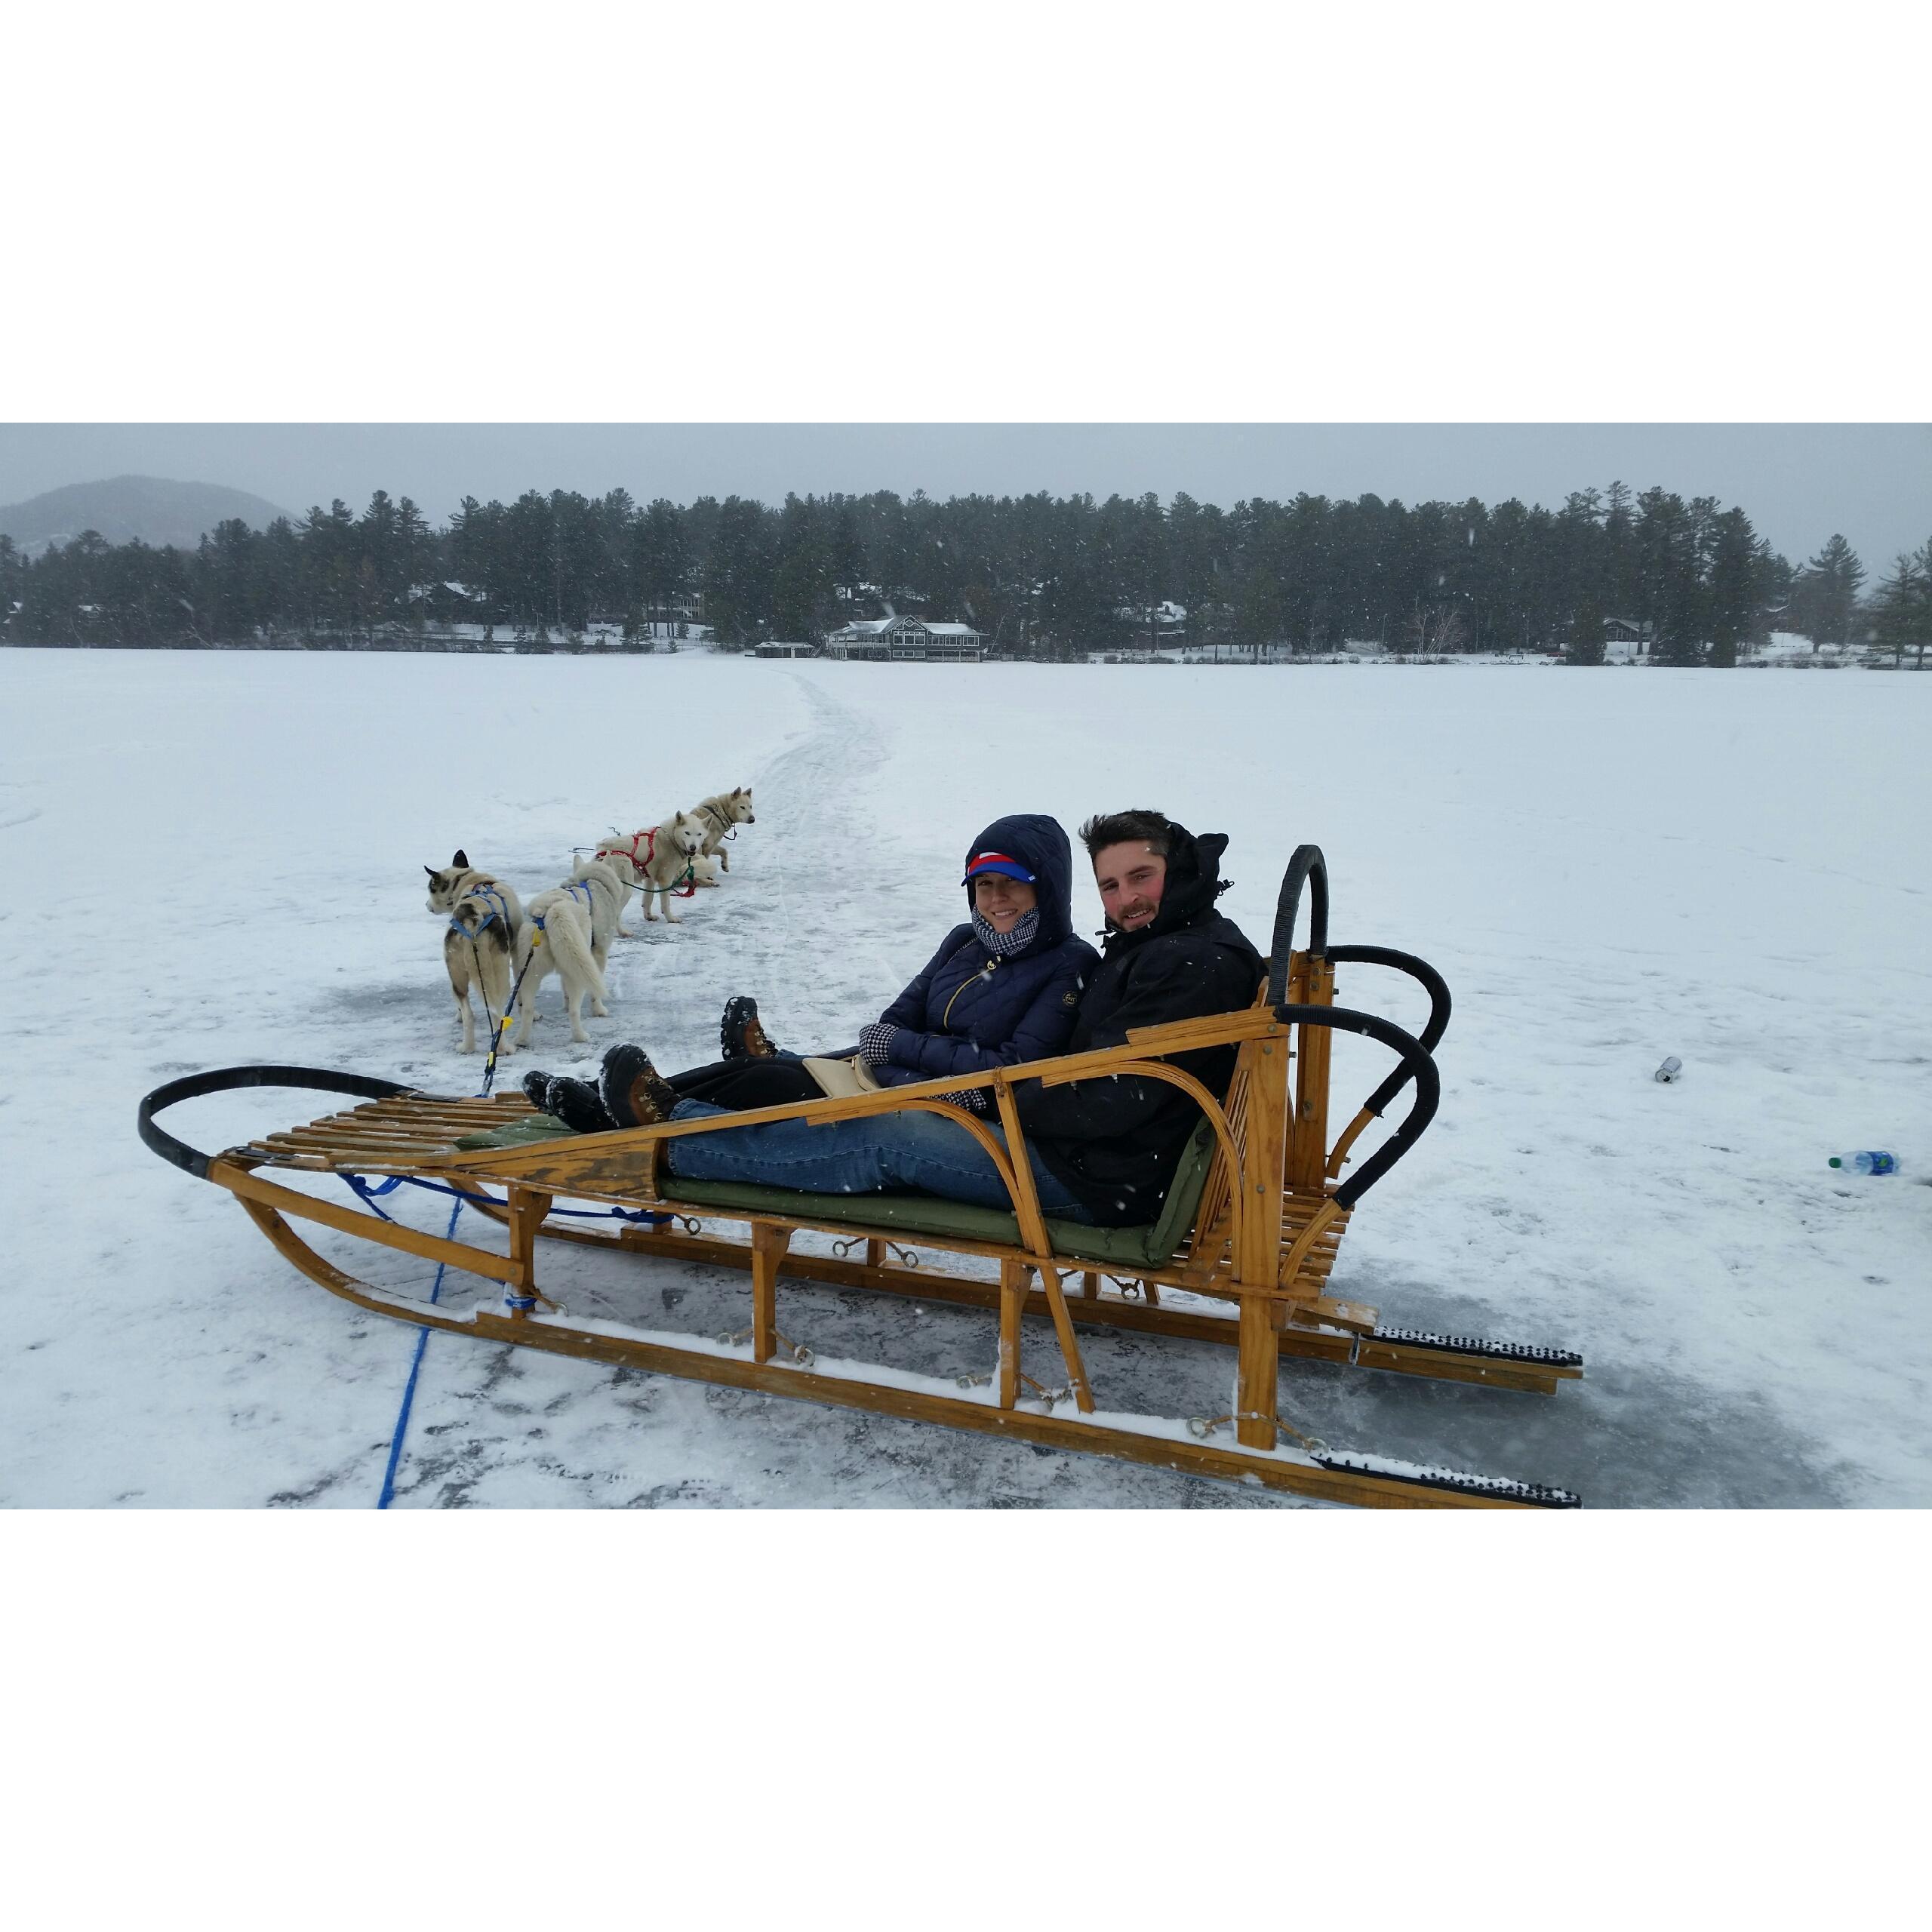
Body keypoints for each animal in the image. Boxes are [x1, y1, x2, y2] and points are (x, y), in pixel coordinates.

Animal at [426, 850, 525, 1058]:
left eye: (430, 889)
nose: (426, 905)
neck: (468, 879)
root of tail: (471, 921)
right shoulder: (515, 951)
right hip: (499, 971)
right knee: (497, 1013)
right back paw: (504, 1048)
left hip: (456, 972)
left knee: (468, 1012)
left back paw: (467, 1047)